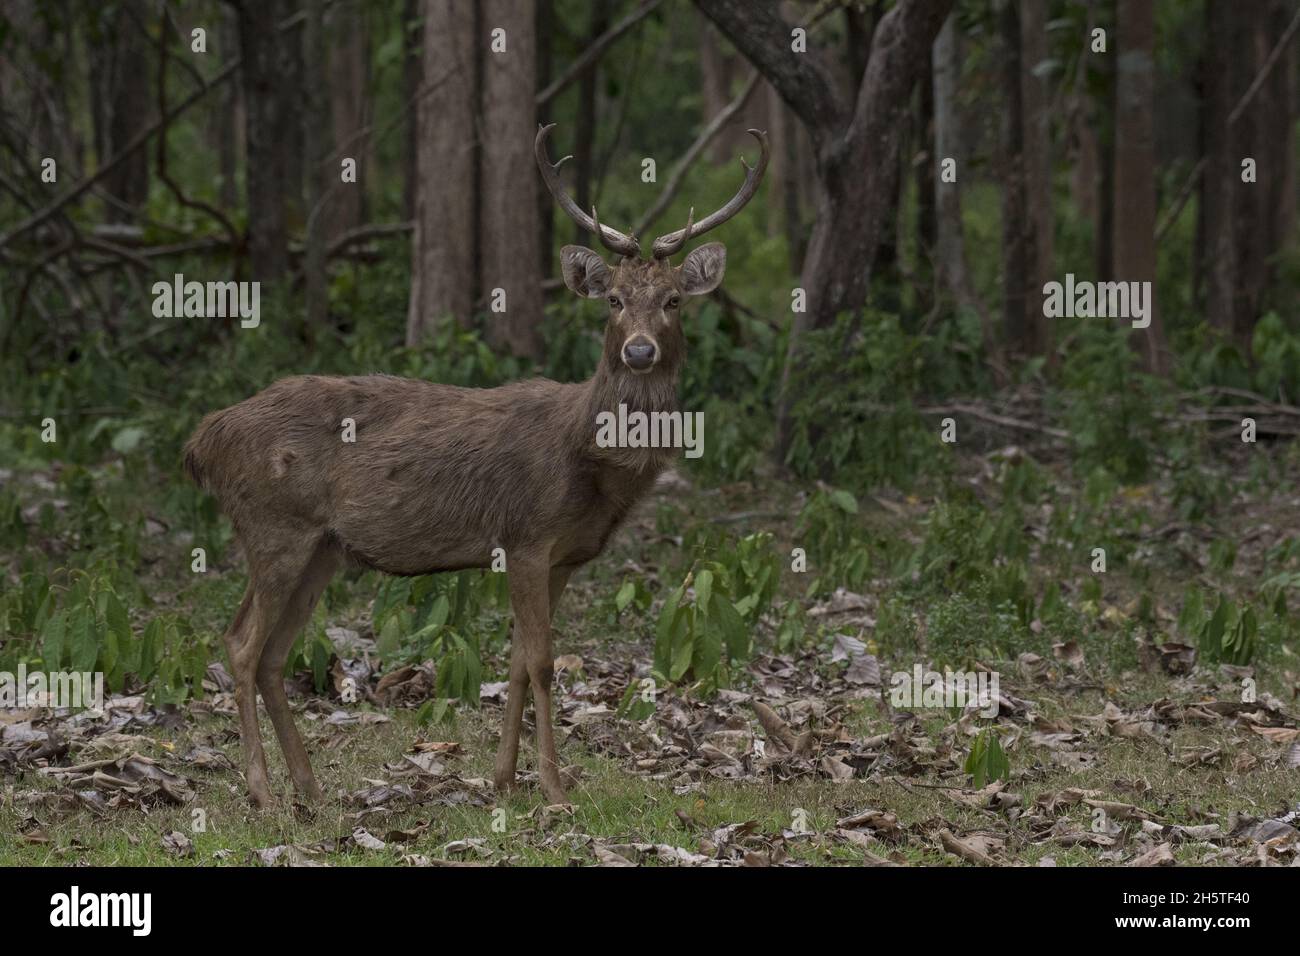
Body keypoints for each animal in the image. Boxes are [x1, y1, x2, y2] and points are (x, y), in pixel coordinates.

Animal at [184, 121, 769, 806]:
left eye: (674, 300)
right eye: (616, 301)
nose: (641, 350)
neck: (594, 465)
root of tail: (203, 441)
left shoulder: (561, 556)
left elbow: (516, 661)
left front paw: (504, 780)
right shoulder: (527, 535)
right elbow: (542, 662)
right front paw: (554, 788)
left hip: (322, 547)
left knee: (275, 652)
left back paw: (308, 788)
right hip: (274, 526)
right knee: (240, 645)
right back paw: (263, 792)